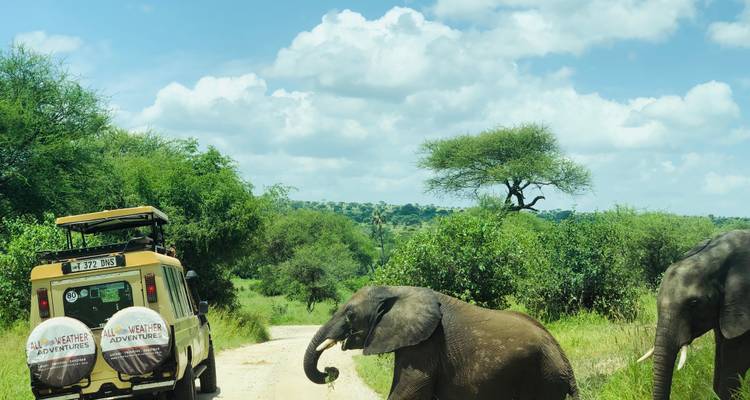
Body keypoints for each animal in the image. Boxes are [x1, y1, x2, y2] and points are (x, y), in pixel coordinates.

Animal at [303, 285, 579, 400]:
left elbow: (408, 391)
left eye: (350, 314)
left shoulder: (427, 344)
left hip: (542, 379)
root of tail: (564, 360)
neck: (396, 290)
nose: (331, 370)